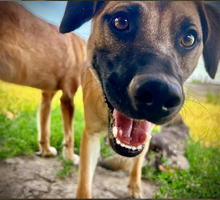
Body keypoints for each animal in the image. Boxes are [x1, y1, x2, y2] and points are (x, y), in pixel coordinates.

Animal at [0, 1, 87, 164]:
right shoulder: (67, 98)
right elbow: (70, 135)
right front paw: (70, 157)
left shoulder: (47, 96)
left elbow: (44, 128)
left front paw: (45, 151)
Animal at [59, 1, 220, 198]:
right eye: (120, 21)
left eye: (189, 38)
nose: (160, 93)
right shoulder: (90, 135)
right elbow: (84, 179)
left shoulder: (147, 136)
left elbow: (137, 164)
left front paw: (135, 187)